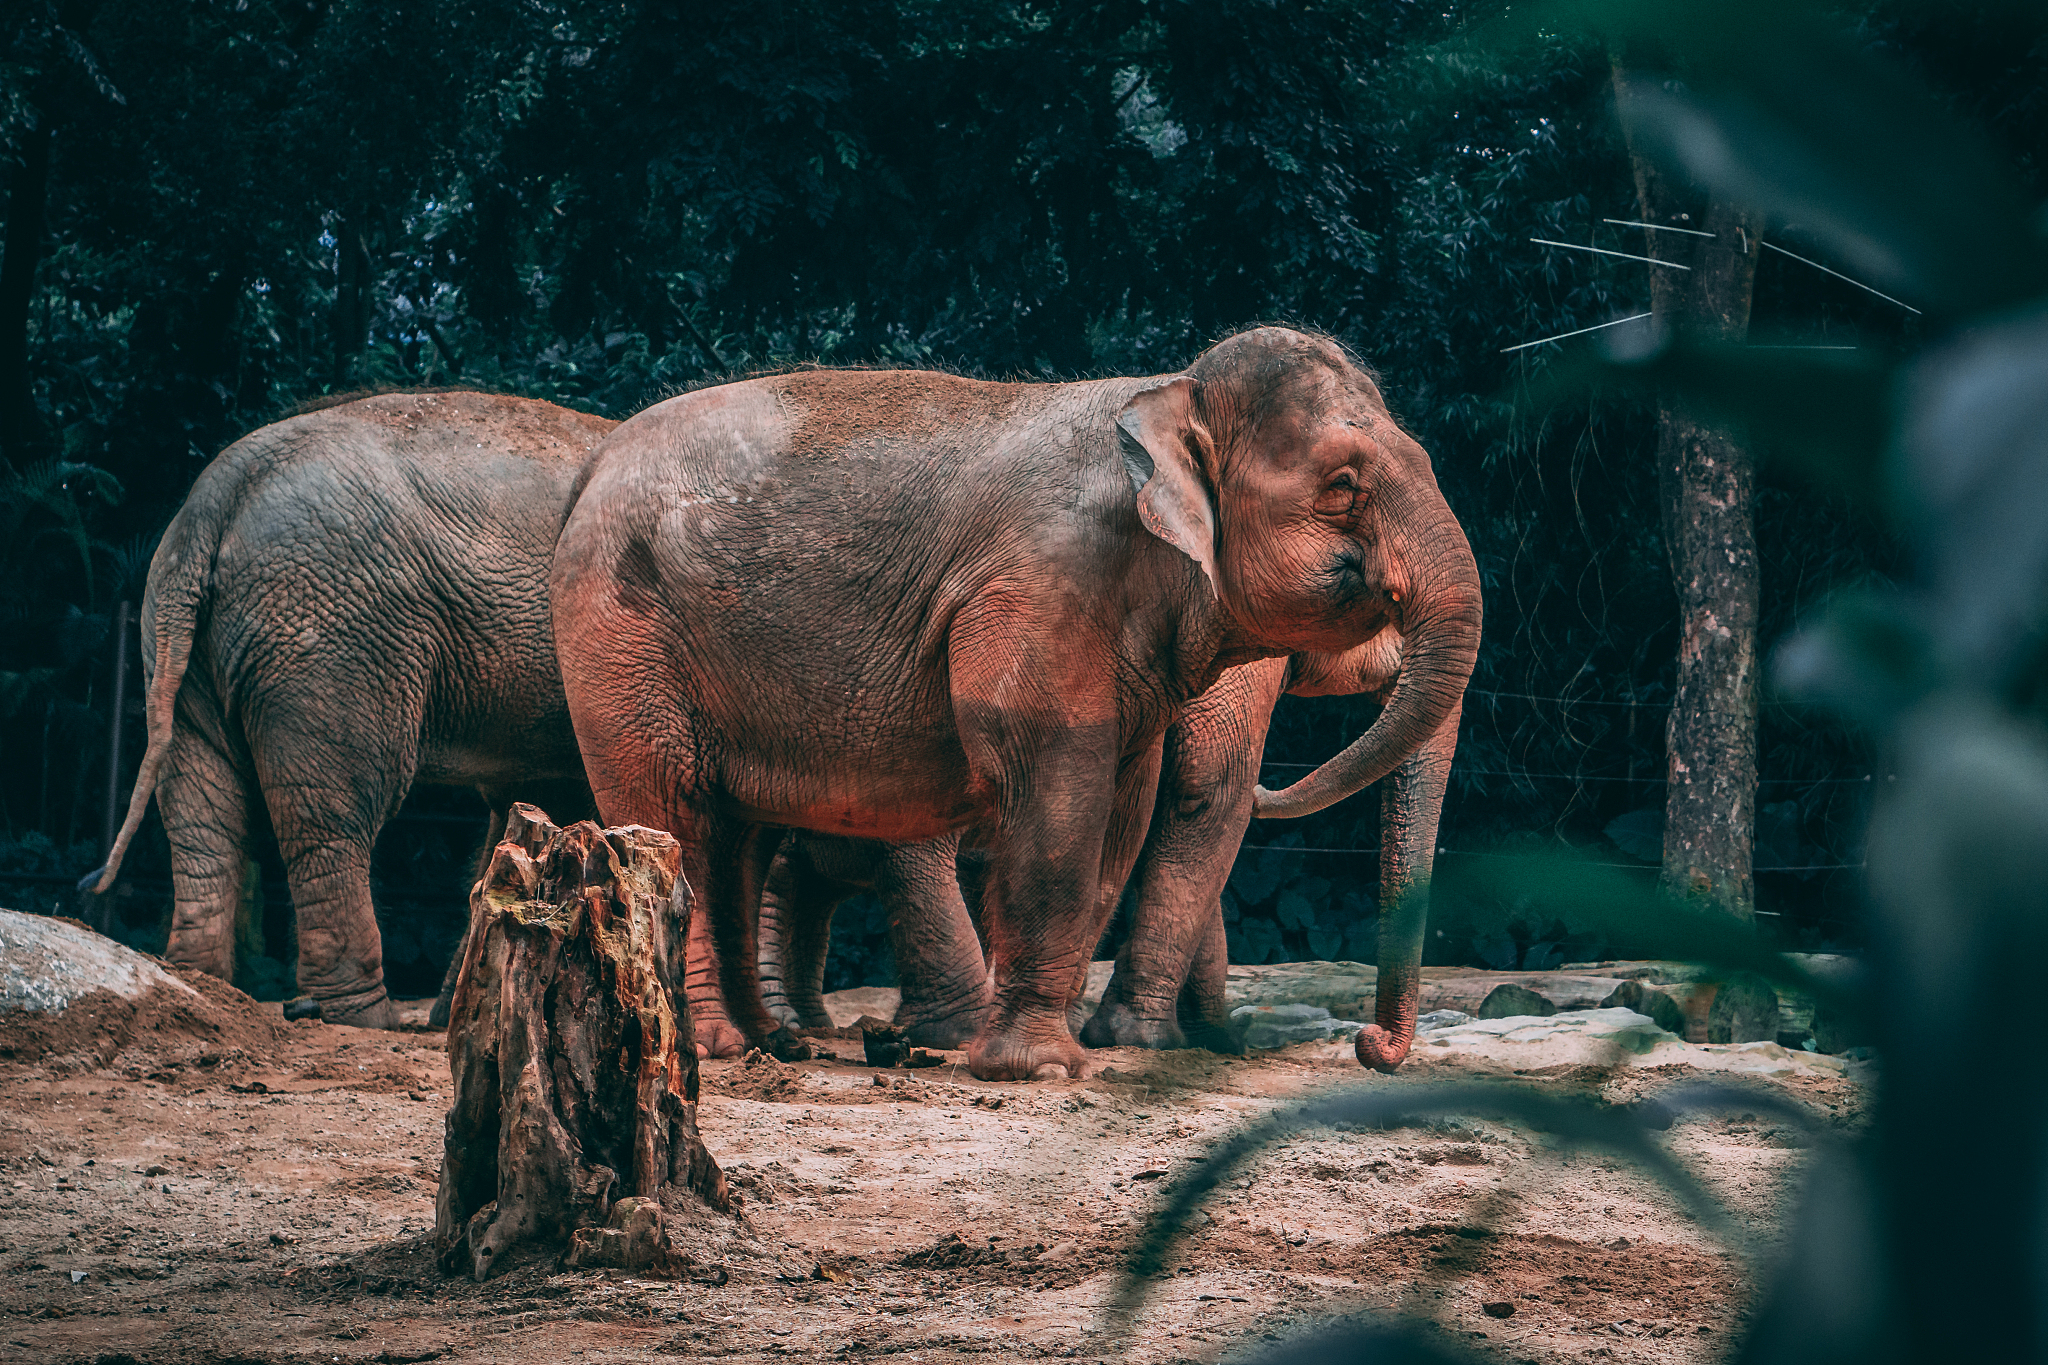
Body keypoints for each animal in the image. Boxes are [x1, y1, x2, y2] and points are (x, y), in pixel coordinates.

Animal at [90, 390, 612, 1027]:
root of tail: (213, 498)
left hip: (176, 637)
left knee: (199, 804)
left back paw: (201, 985)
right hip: (335, 636)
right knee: (334, 810)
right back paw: (356, 1015)